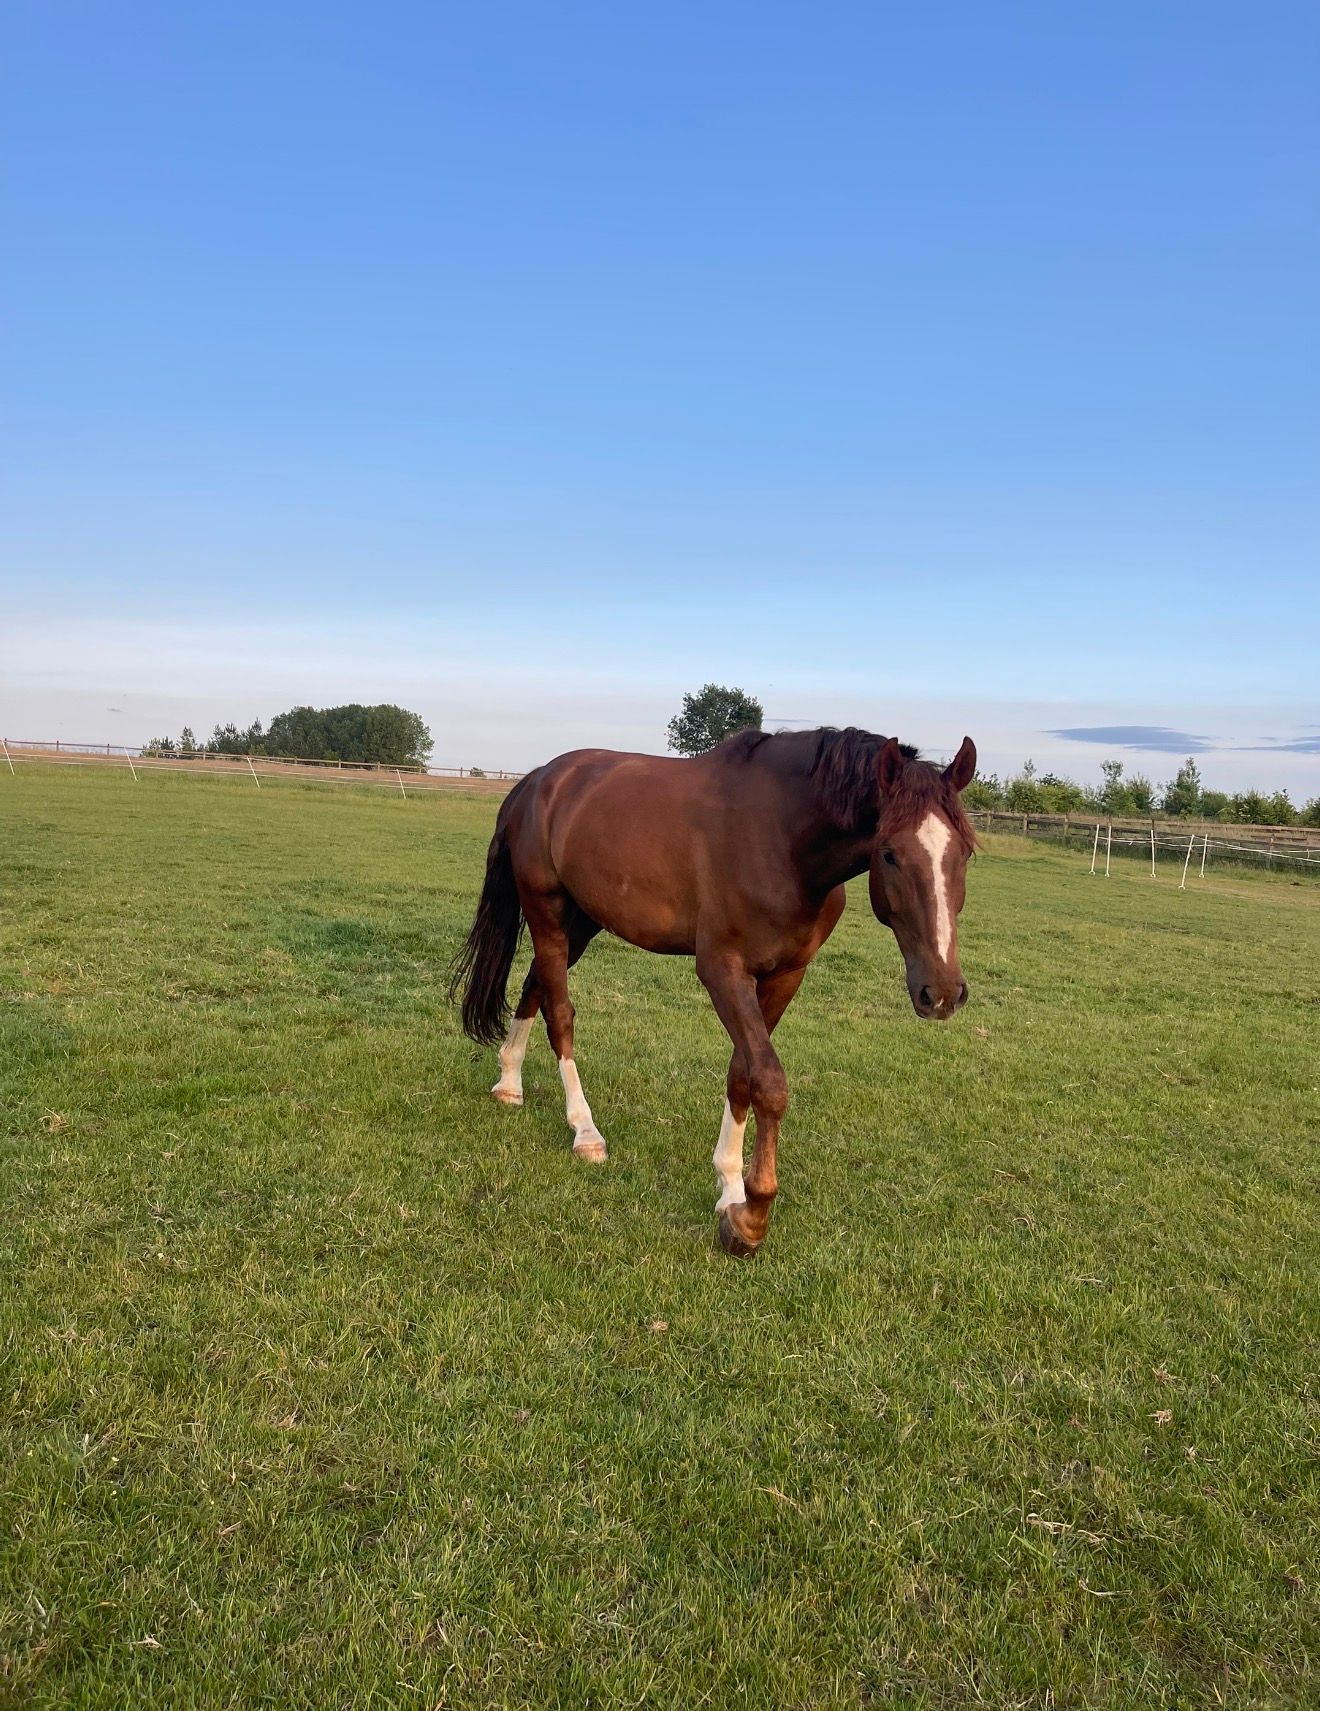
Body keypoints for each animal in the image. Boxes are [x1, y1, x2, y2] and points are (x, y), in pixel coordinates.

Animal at [451, 725, 978, 1255]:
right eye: (889, 853)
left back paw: (509, 1082)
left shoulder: (786, 975)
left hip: (582, 921)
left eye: (966, 853)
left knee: (534, 985)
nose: (941, 992)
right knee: (559, 1012)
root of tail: (538, 780)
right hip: (547, 914)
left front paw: (729, 1188)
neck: (781, 837)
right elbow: (769, 1082)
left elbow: (742, 1074)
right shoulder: (724, 971)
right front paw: (751, 1217)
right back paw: (584, 1129)